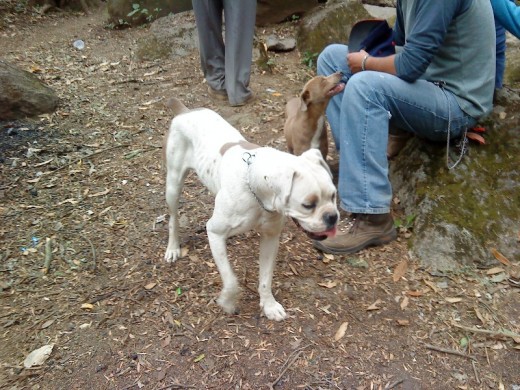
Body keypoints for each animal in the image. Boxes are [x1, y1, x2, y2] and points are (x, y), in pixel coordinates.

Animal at [165, 97, 340, 320]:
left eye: (333, 196)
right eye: (308, 205)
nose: (332, 217)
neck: (256, 190)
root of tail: (185, 111)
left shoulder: (270, 238)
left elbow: (265, 279)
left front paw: (269, 305)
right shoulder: (215, 232)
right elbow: (231, 280)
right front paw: (227, 302)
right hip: (173, 185)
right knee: (173, 219)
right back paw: (172, 248)